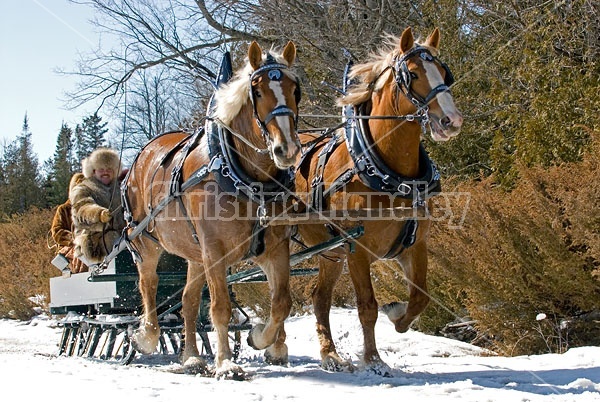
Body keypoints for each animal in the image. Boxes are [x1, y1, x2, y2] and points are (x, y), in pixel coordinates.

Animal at [122, 41, 300, 380]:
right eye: (257, 91)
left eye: (295, 89)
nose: (287, 149)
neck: (243, 176)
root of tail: (140, 156)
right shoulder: (214, 249)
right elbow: (220, 307)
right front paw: (227, 363)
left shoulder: (274, 247)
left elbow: (282, 301)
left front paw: (264, 340)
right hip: (146, 241)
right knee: (148, 285)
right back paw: (146, 335)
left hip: (194, 253)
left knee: (188, 302)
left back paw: (191, 357)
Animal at [296, 27, 464, 374]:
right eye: (413, 74)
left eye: (444, 73)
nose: (451, 120)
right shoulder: (357, 249)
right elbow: (367, 307)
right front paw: (374, 360)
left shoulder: (415, 244)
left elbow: (420, 297)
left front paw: (398, 315)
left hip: (329, 252)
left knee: (319, 297)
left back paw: (330, 355)